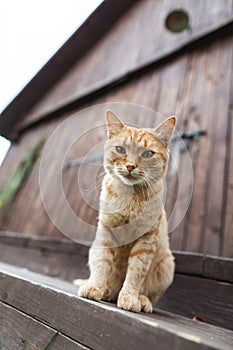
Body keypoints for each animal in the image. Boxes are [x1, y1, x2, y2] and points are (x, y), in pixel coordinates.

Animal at [77, 110, 176, 312]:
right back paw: (105, 291)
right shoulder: (106, 233)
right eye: (121, 149)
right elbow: (102, 263)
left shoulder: (146, 241)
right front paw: (95, 287)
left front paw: (130, 297)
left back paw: (142, 300)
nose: (130, 166)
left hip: (167, 266)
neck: (131, 199)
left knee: (149, 294)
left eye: (148, 153)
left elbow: (136, 272)